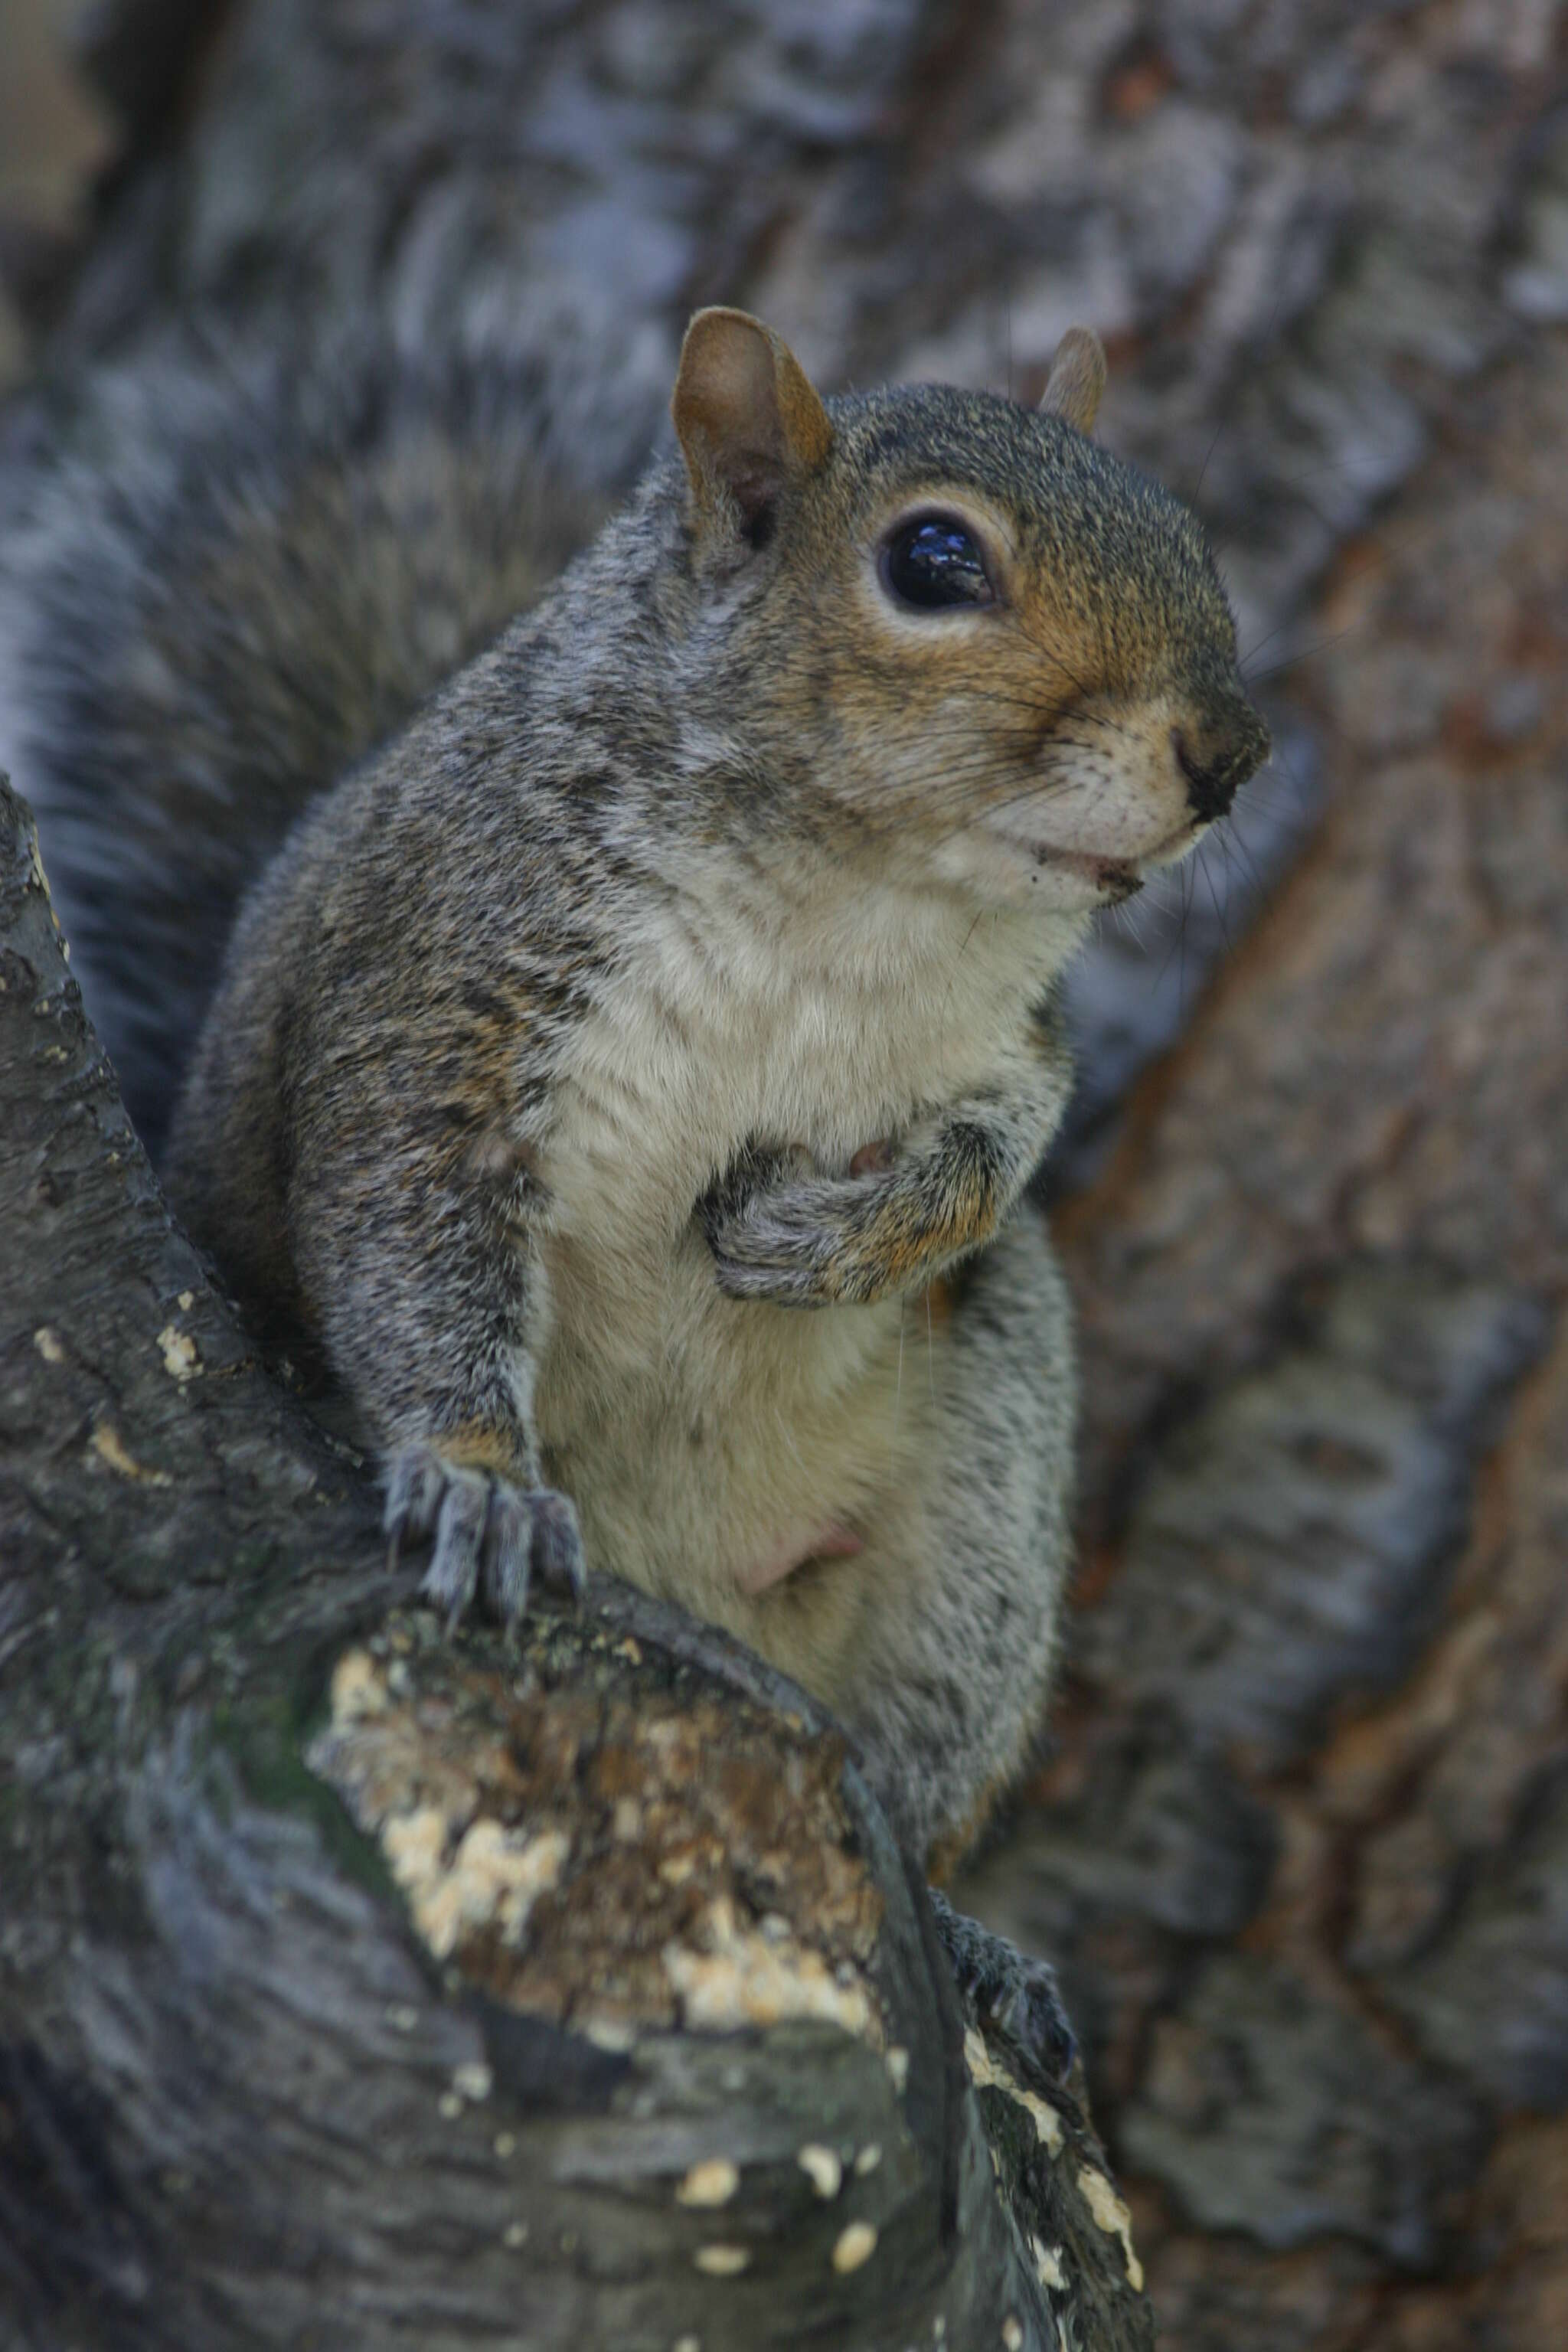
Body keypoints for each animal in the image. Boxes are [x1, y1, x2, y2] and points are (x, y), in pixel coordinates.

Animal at [0, 303, 1269, 2088]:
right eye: (934, 560)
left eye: (1188, 531)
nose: (1231, 756)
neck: (855, 906)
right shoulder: (439, 1004)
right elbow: (409, 1238)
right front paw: (475, 1481)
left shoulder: (1016, 1043)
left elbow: (997, 1151)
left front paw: (831, 1236)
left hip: (981, 1539)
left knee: (912, 1788)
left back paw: (965, 1936)